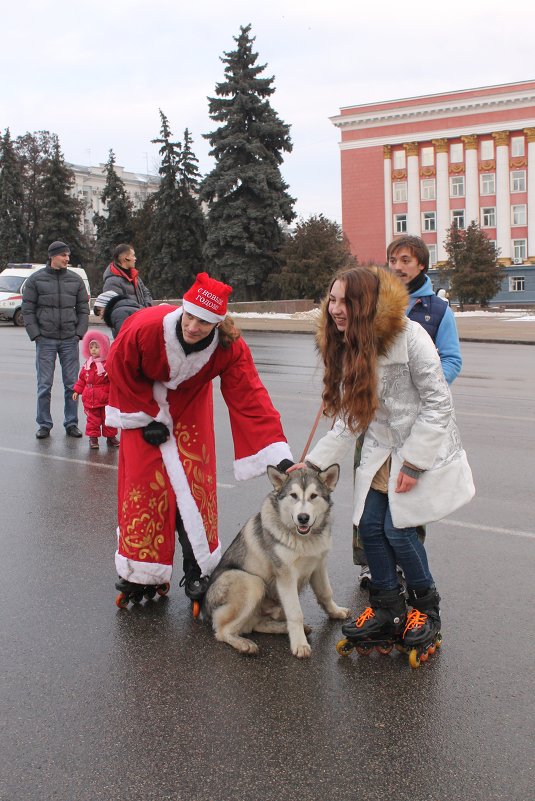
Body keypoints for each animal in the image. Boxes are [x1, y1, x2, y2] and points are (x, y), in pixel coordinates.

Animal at [203, 462, 350, 656]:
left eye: (313, 496)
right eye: (293, 496)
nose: (303, 518)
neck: (304, 539)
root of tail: (204, 606)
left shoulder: (318, 565)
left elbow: (325, 593)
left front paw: (335, 611)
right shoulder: (286, 577)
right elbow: (296, 613)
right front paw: (299, 644)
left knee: (255, 625)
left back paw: (284, 628)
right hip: (253, 583)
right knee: (222, 631)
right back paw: (244, 644)